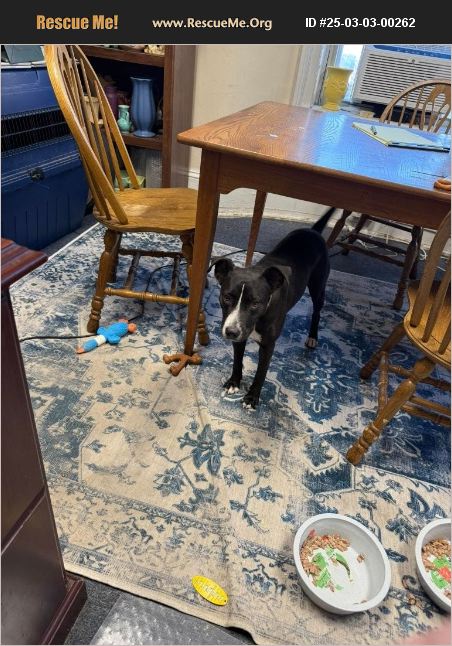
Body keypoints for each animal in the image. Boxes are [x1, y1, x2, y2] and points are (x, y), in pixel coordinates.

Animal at [214, 207, 335, 409]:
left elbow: (261, 373)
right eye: (227, 297)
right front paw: (233, 382)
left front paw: (252, 398)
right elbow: (237, 361)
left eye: (255, 303)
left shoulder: (268, 345)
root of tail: (313, 231)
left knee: (317, 312)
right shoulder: (240, 337)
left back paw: (312, 337)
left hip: (318, 287)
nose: (230, 332)